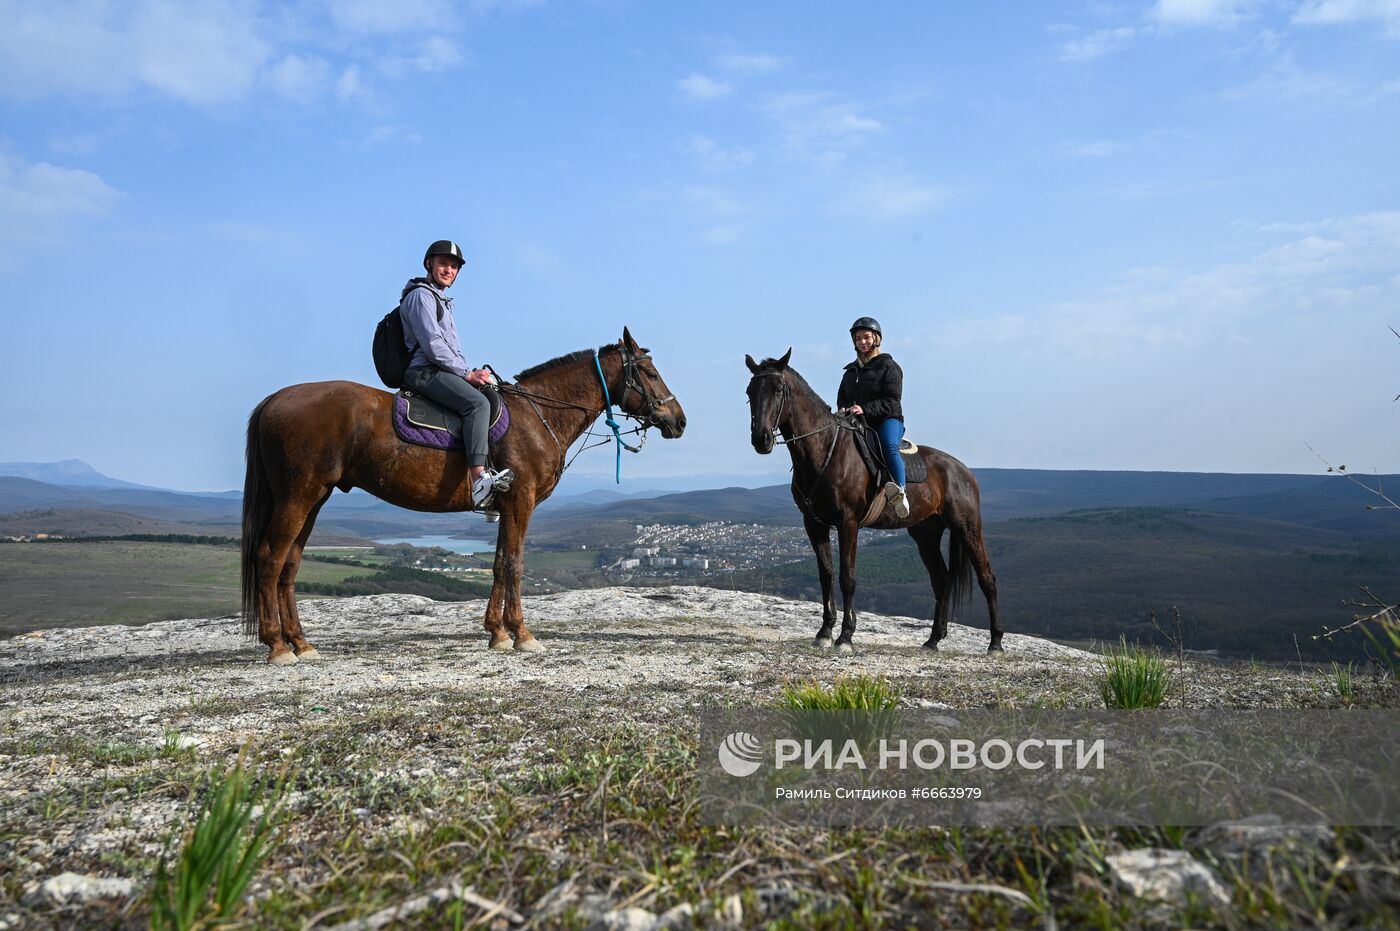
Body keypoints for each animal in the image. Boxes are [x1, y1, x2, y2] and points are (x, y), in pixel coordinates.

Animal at [242, 326, 688, 660]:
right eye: (649, 372)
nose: (679, 420)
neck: (539, 415)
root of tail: (273, 400)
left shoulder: (506, 506)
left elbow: (497, 564)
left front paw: (497, 632)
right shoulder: (521, 501)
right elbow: (514, 564)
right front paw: (523, 634)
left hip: (313, 499)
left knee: (289, 564)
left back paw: (301, 642)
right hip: (298, 497)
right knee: (269, 558)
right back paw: (277, 646)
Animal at [750, 350, 1002, 652]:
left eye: (778, 389)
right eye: (750, 391)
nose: (760, 439)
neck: (825, 449)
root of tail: (964, 471)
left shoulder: (848, 522)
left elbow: (847, 577)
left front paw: (845, 636)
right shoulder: (814, 523)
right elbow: (826, 575)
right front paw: (824, 632)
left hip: (967, 528)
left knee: (987, 578)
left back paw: (995, 643)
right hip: (926, 534)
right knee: (941, 581)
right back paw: (932, 640)